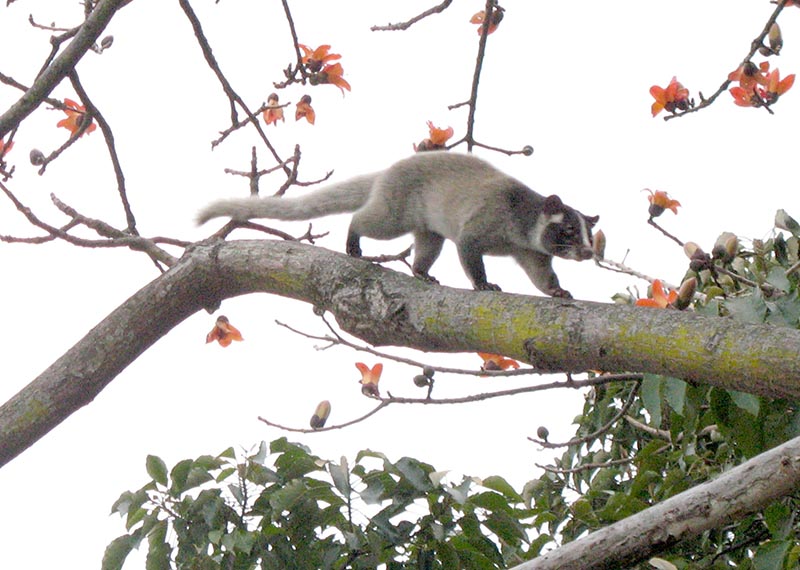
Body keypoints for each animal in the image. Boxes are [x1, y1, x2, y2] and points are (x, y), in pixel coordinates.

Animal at [197, 152, 598, 298]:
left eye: (588, 233)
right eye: (568, 230)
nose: (588, 252)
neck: (522, 227)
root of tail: (386, 173)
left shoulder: (532, 252)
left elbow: (540, 275)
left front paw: (557, 290)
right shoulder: (483, 223)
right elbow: (468, 249)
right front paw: (483, 283)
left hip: (427, 228)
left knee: (428, 245)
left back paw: (422, 272)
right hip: (395, 209)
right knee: (367, 220)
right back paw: (353, 242)